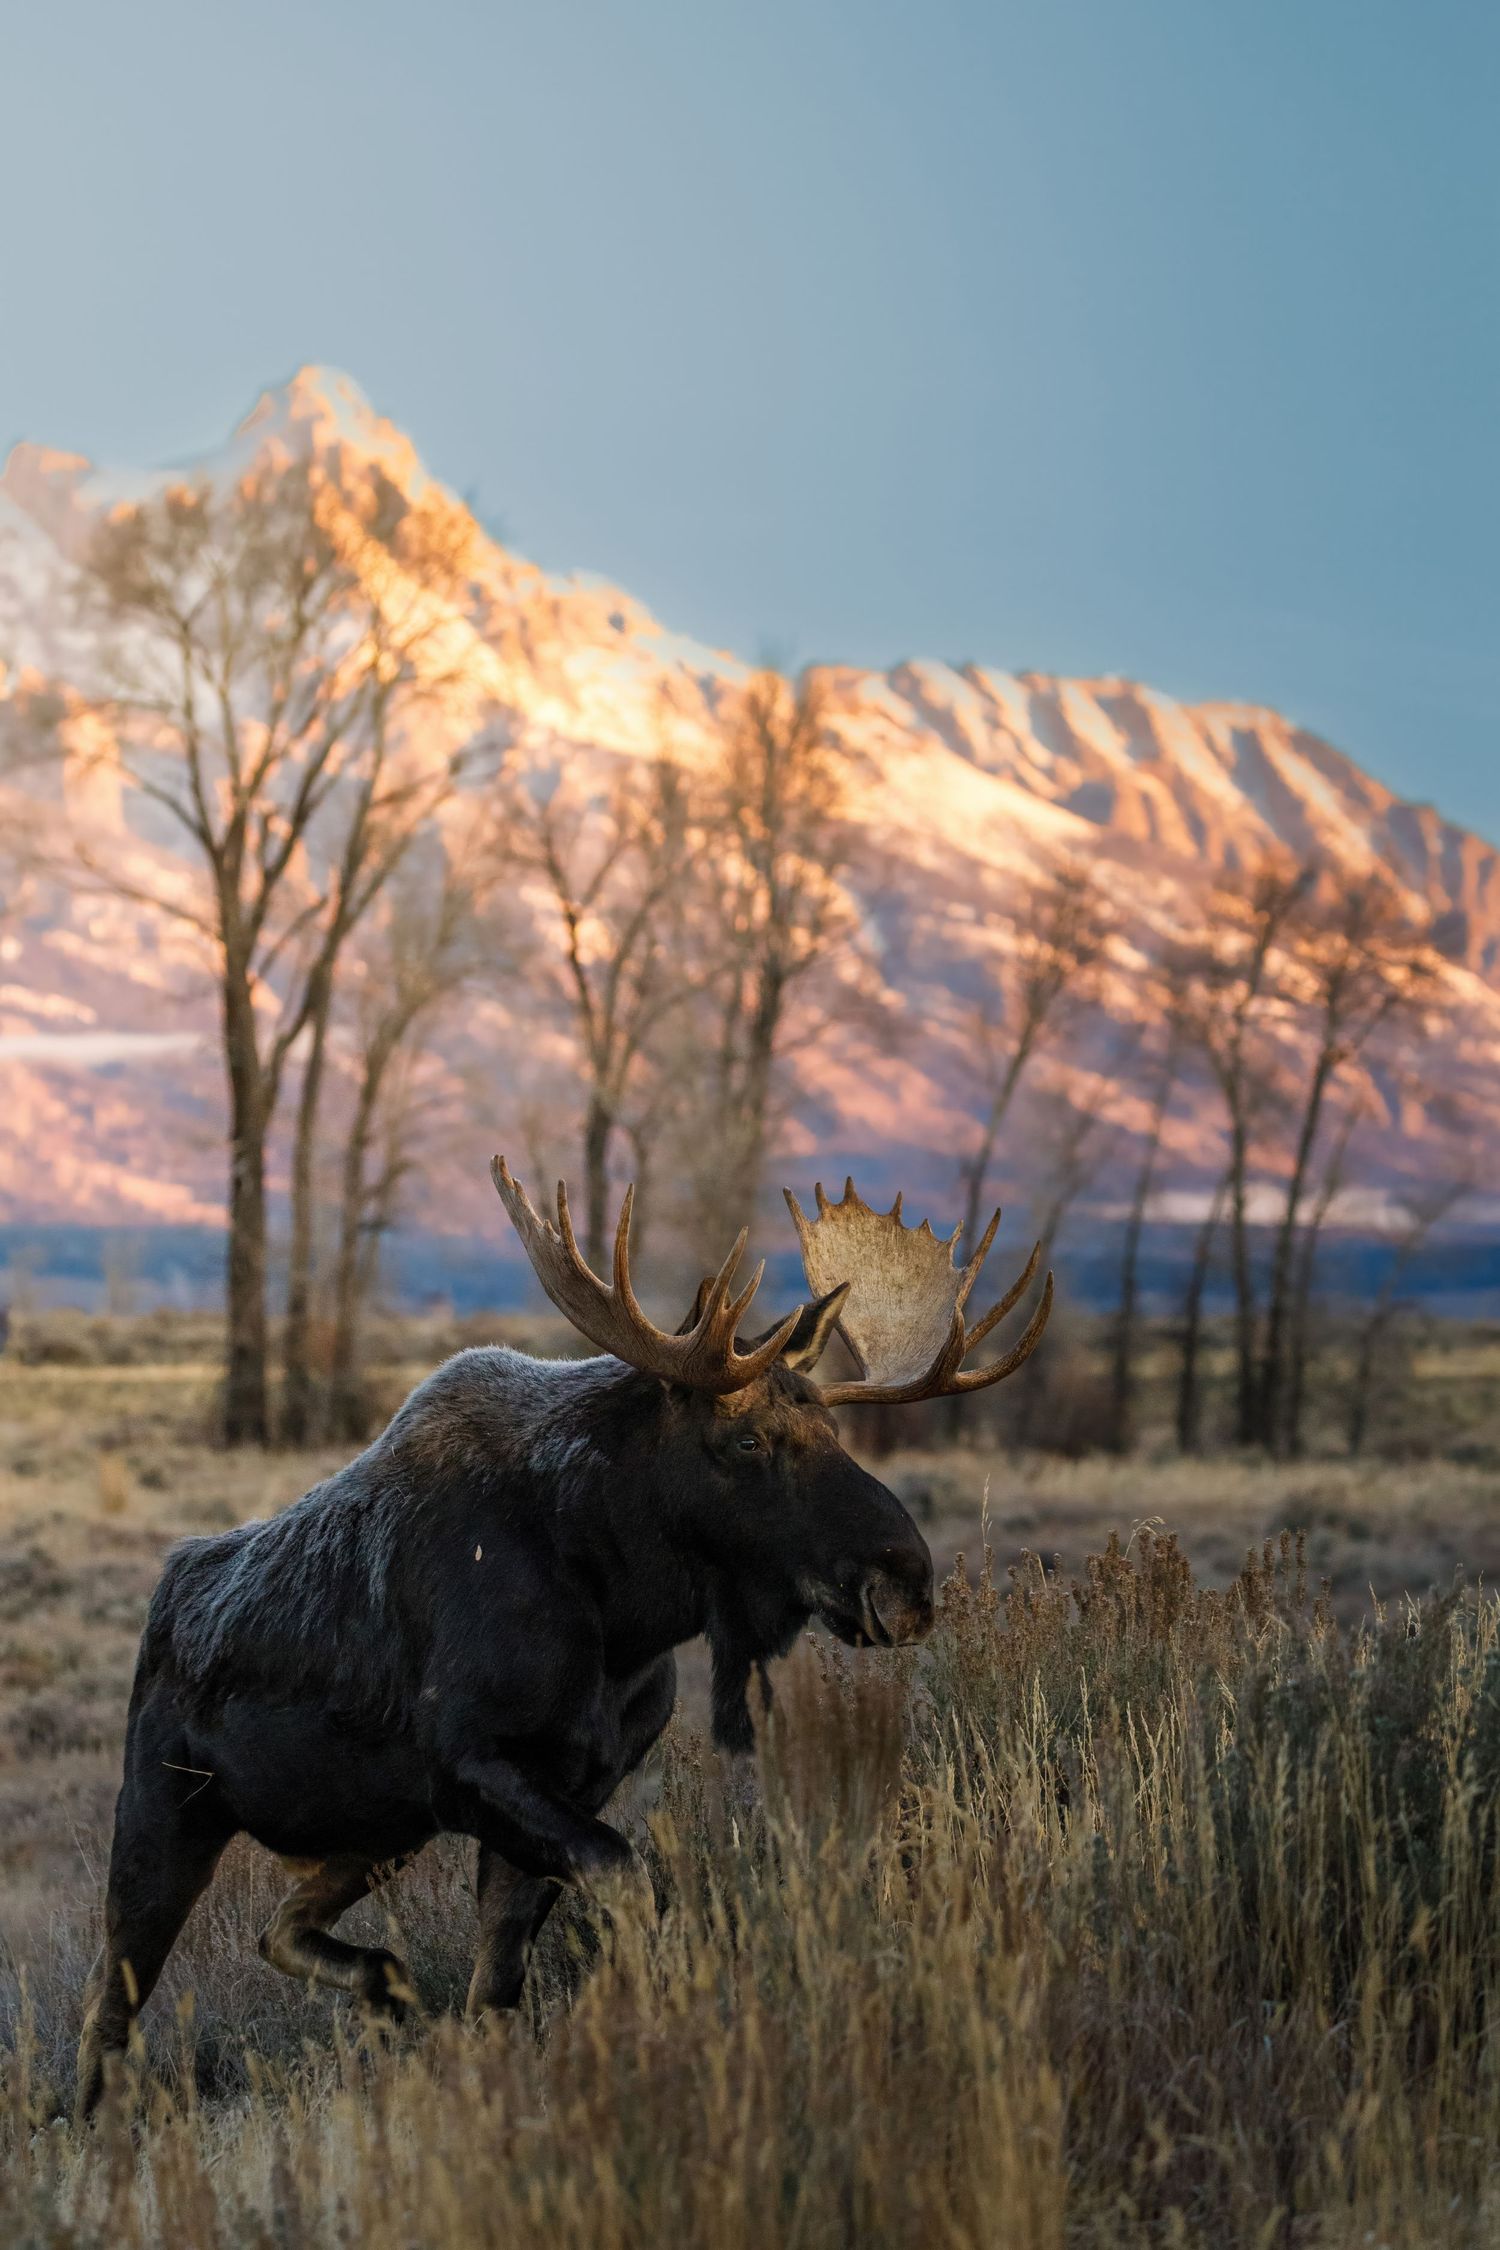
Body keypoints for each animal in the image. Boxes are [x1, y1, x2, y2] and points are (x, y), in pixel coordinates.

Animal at [76, 1159, 1052, 2118]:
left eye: (834, 1426)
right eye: (744, 1440)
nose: (906, 1582)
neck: (621, 1617)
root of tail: (169, 1587)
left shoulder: (572, 1779)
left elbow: (499, 1984)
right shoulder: (473, 1766)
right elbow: (624, 1878)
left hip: (377, 1828)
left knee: (278, 1926)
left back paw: (384, 1989)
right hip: (165, 1812)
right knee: (106, 2011)